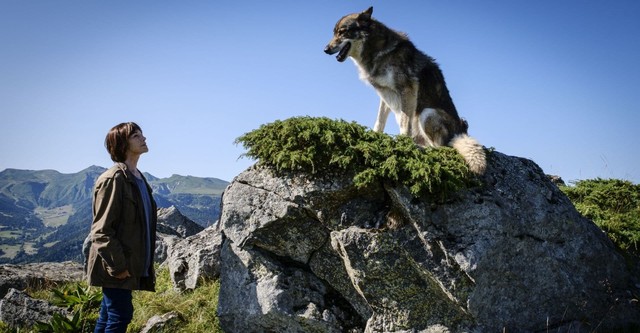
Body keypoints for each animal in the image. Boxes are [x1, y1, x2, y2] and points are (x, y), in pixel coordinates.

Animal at [324, 7, 484, 174]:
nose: (325, 49)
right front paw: (375, 136)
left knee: (441, 148)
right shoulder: (385, 94)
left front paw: (402, 142)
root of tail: (461, 132)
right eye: (334, 33)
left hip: (427, 113)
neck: (377, 50)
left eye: (342, 32)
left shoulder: (407, 89)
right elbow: (380, 120)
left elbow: (404, 123)